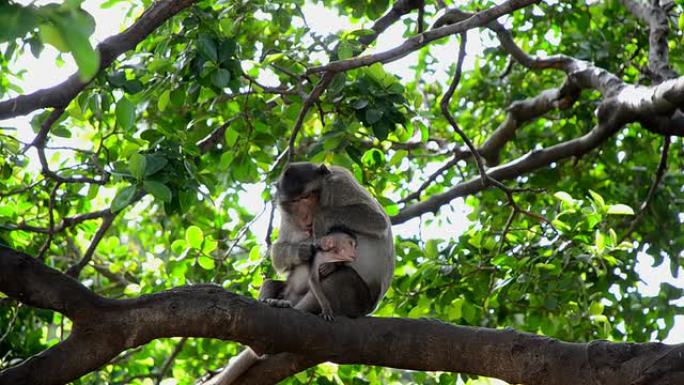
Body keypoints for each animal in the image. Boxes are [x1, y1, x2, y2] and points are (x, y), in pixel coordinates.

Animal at [208, 162, 392, 384]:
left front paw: (321, 218)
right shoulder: (286, 213)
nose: (306, 217)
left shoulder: (340, 182)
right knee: (271, 283)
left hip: (358, 299)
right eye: (295, 202)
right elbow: (279, 251)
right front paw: (301, 251)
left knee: (339, 279)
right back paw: (273, 303)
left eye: (307, 197)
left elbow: (376, 220)